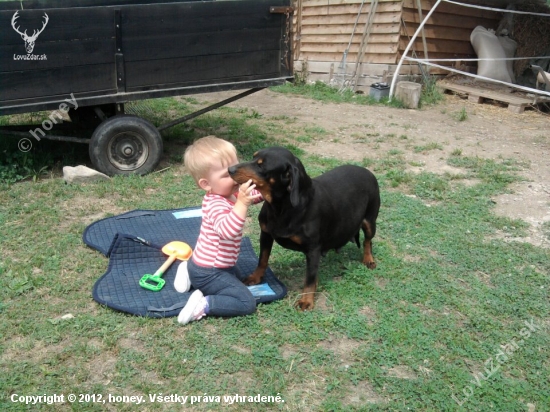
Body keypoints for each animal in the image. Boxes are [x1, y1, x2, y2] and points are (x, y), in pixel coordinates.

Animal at [229, 147, 380, 308]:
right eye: (253, 157)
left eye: (261, 166)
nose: (230, 169)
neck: (283, 207)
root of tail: (367, 171)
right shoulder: (266, 234)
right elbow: (262, 259)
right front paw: (255, 277)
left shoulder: (313, 249)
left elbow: (310, 277)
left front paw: (306, 300)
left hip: (370, 221)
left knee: (368, 241)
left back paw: (368, 259)